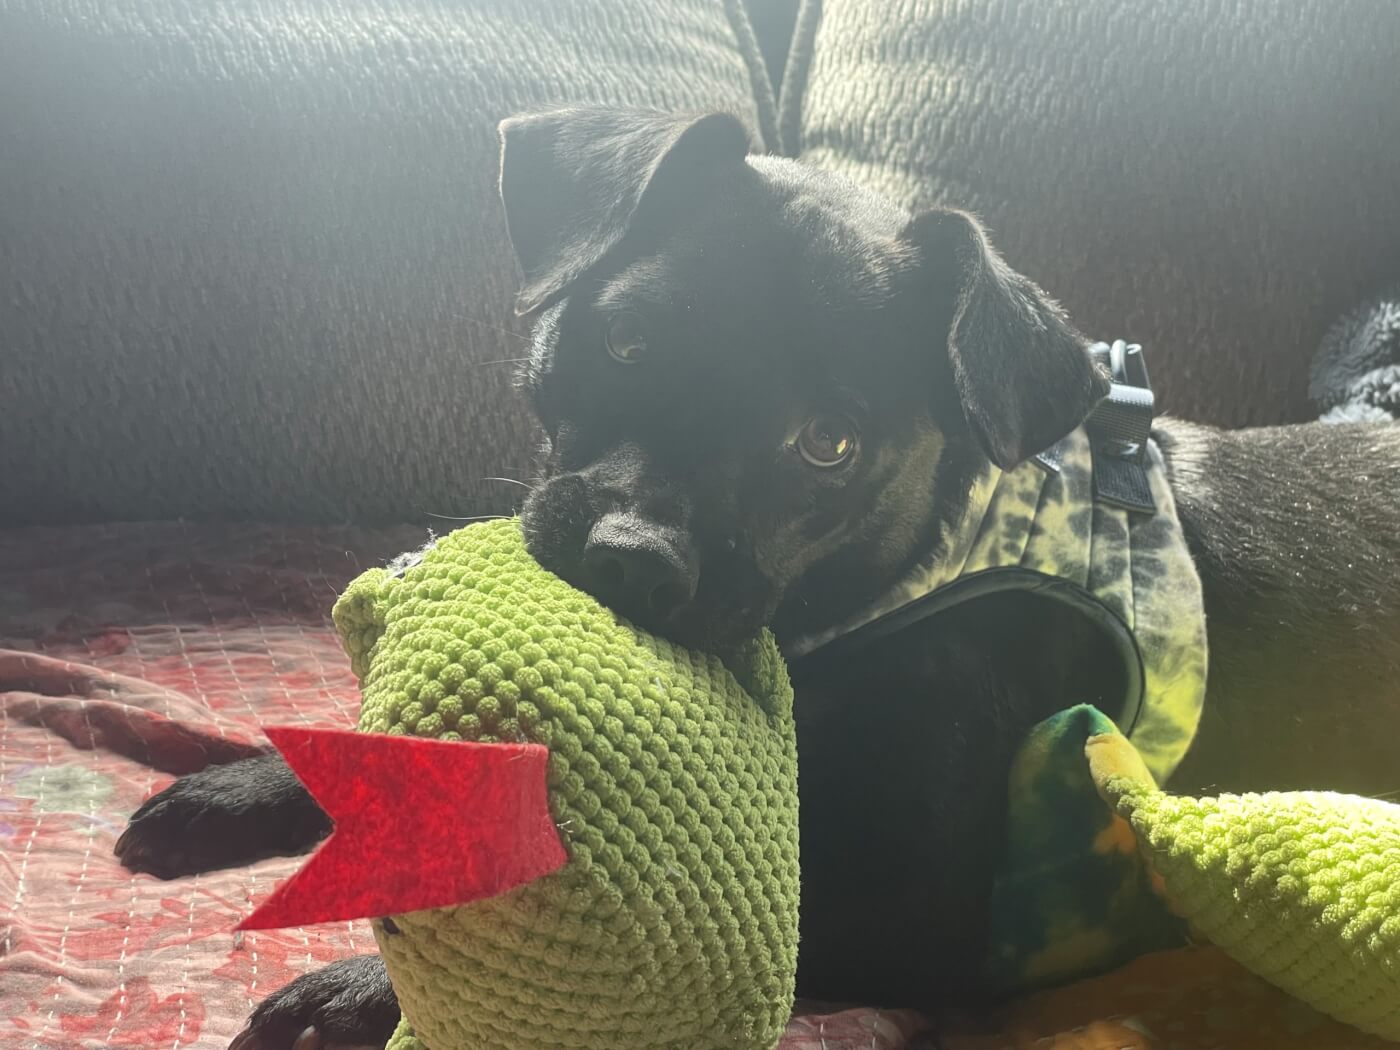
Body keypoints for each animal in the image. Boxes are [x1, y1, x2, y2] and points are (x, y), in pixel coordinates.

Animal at [112, 109, 1400, 1050]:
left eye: (826, 442)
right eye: (625, 345)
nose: (631, 561)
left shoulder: (907, 912)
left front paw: (345, 989)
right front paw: (244, 788)